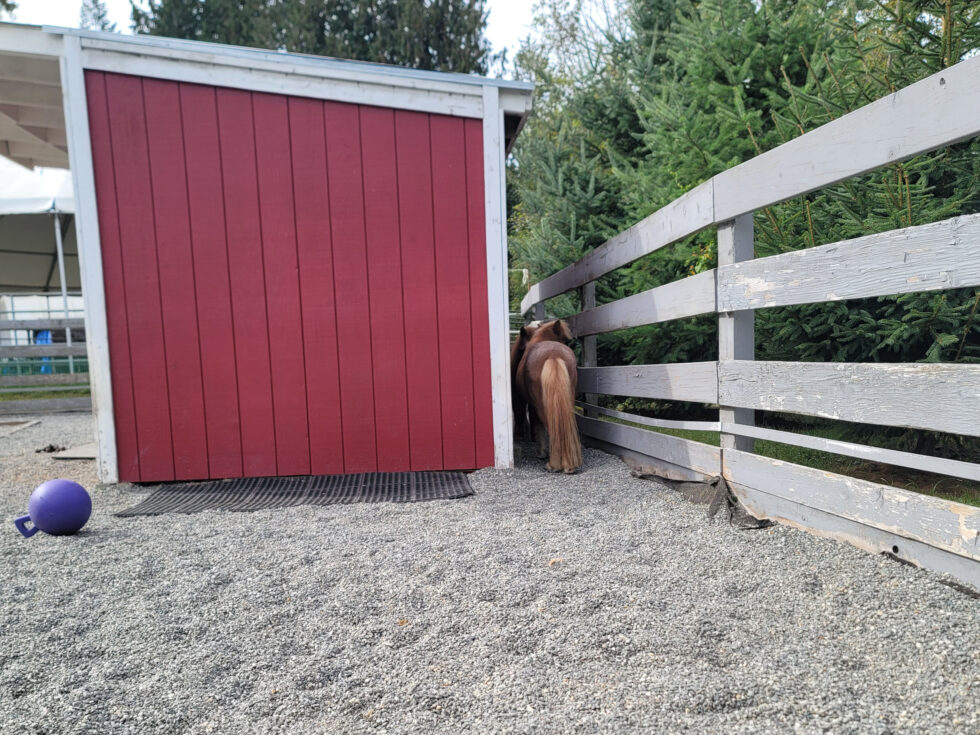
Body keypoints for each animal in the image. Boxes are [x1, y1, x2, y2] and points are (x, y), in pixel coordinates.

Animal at [515, 319, 582, 473]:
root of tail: (553, 356)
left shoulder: (532, 407)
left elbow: (538, 427)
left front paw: (541, 453)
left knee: (551, 427)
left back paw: (555, 464)